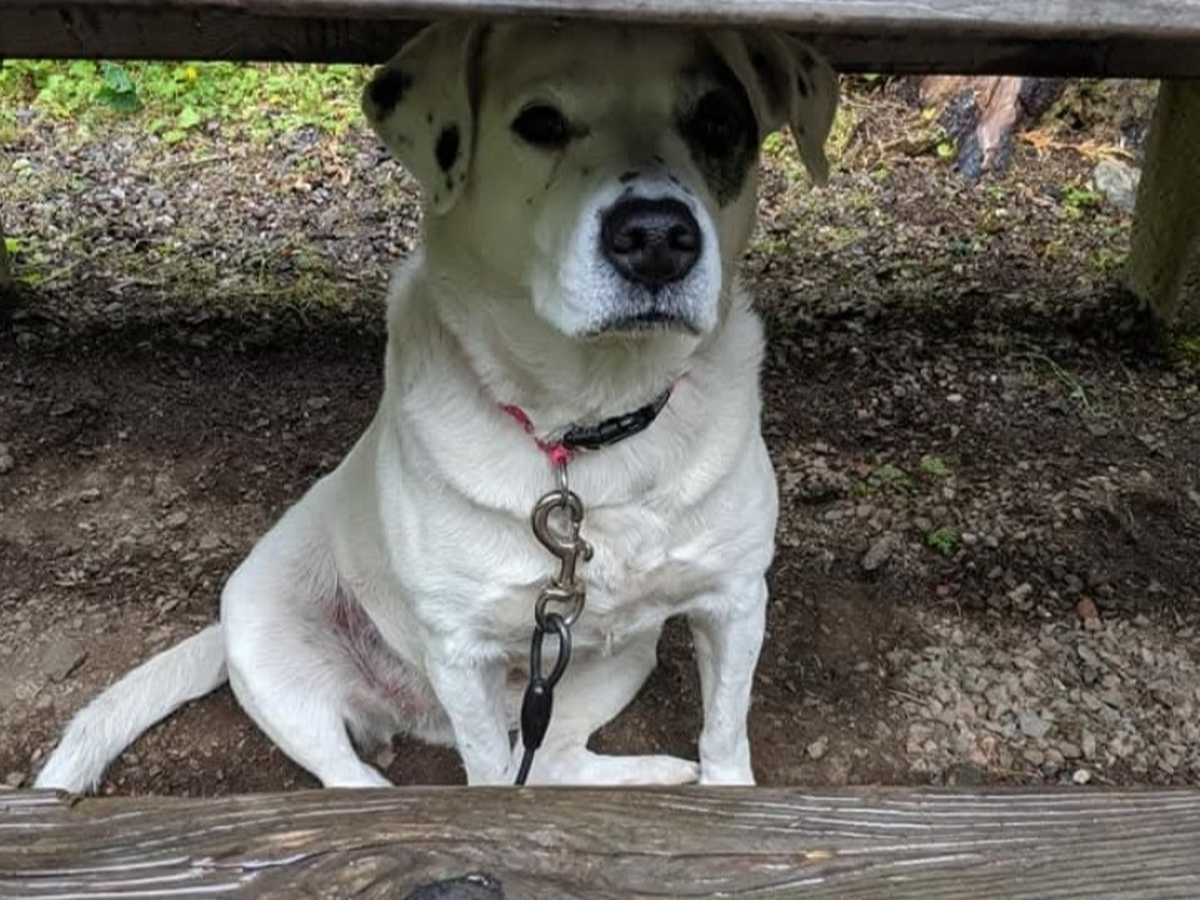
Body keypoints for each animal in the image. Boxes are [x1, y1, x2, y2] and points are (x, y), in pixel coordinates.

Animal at [35, 20, 838, 791]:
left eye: (719, 121)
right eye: (539, 123)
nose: (657, 238)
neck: (587, 427)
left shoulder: (735, 600)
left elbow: (725, 733)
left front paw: (724, 787)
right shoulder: (462, 651)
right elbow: (488, 775)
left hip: (620, 656)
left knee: (551, 758)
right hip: (279, 658)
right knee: (359, 778)